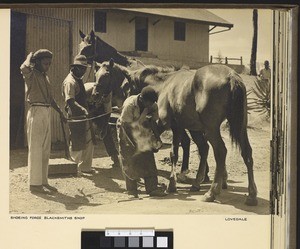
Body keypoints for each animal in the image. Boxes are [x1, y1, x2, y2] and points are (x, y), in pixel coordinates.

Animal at [93, 61, 258, 205]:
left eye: (106, 75)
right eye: (95, 75)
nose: (95, 94)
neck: (164, 85)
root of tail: (231, 76)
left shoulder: (169, 124)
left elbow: (174, 152)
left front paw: (172, 184)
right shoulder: (180, 125)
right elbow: (181, 149)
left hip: (210, 129)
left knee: (220, 151)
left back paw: (211, 192)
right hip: (238, 126)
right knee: (245, 152)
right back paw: (250, 194)